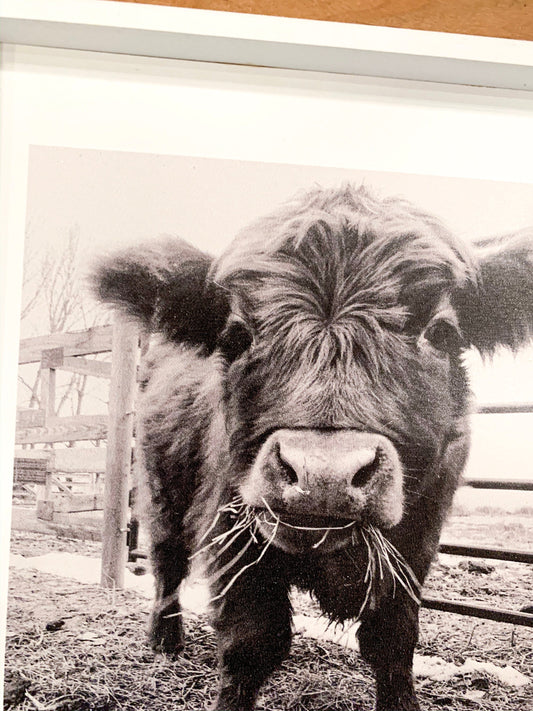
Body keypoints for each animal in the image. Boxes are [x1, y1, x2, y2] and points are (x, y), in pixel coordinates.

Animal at [91, 184, 533, 711]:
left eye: (440, 332)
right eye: (237, 335)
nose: (324, 476)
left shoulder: (416, 545)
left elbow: (394, 641)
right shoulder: (233, 534)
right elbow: (251, 644)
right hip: (161, 489)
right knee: (167, 561)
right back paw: (165, 638)